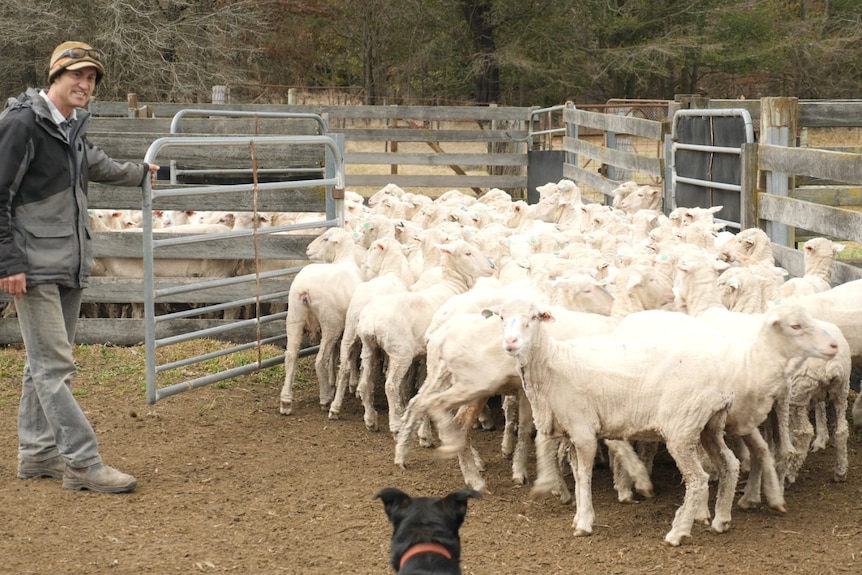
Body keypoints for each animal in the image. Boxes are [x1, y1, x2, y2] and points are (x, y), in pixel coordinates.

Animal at [280, 227, 364, 416]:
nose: (307, 249)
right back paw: (325, 399)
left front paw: (334, 381)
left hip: (294, 317)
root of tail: (305, 288)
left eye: (325, 239)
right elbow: (349, 353)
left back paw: (286, 401)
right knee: (319, 360)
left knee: (291, 356)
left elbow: (336, 354)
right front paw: (350, 383)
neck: (344, 259)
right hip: (330, 322)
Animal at [354, 241, 496, 434]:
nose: (492, 266)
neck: (452, 285)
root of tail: (371, 321)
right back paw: (395, 423)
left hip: (369, 348)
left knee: (365, 383)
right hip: (400, 352)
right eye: (468, 253)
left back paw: (370, 420)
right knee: (390, 386)